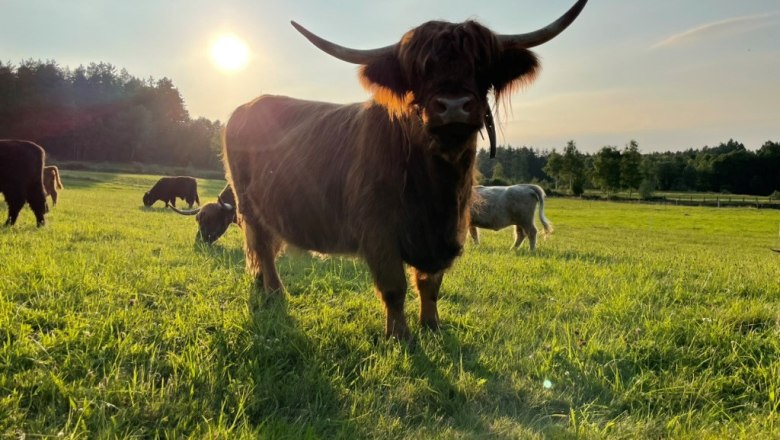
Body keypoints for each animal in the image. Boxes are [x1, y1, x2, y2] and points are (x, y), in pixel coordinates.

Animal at [222, 0, 587, 340]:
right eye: (419, 71)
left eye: (480, 65)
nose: (453, 106)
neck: (435, 186)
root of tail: (248, 106)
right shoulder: (378, 231)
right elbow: (394, 287)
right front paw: (400, 336)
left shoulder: (449, 231)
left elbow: (430, 285)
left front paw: (432, 326)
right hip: (249, 206)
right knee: (262, 246)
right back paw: (275, 291)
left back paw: (262, 286)